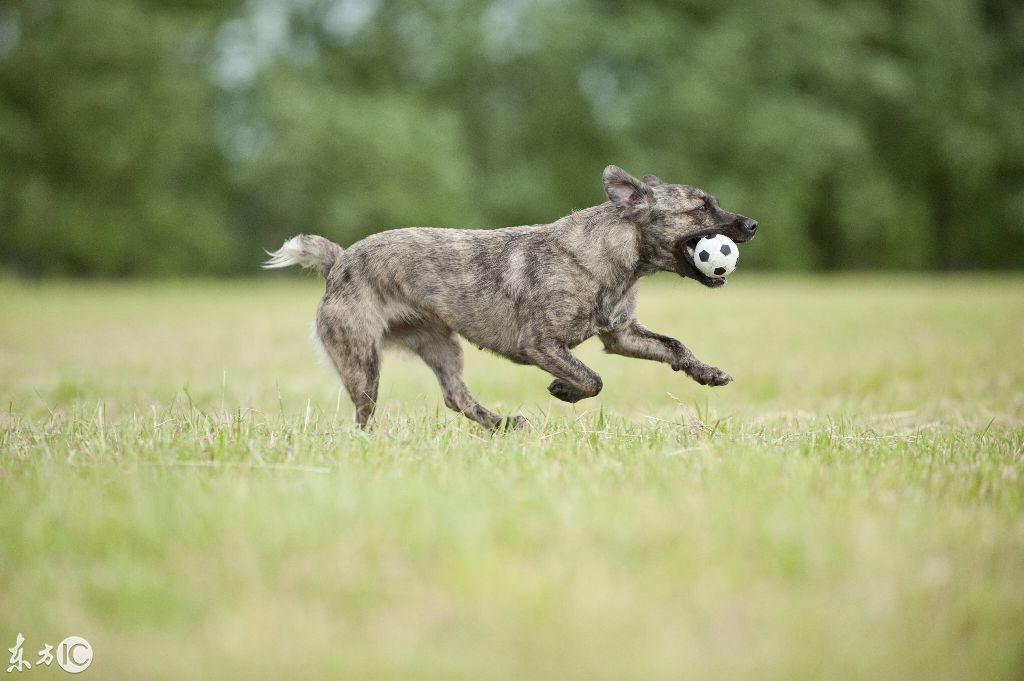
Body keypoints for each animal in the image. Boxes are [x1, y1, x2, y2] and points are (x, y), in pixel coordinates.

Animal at [264, 164, 761, 428]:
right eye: (701, 208)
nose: (753, 224)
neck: (611, 258)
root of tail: (338, 262)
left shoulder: (621, 334)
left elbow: (673, 345)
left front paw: (707, 372)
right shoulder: (541, 344)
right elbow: (592, 379)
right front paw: (564, 390)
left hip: (442, 346)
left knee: (457, 398)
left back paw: (501, 426)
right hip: (362, 360)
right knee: (364, 414)